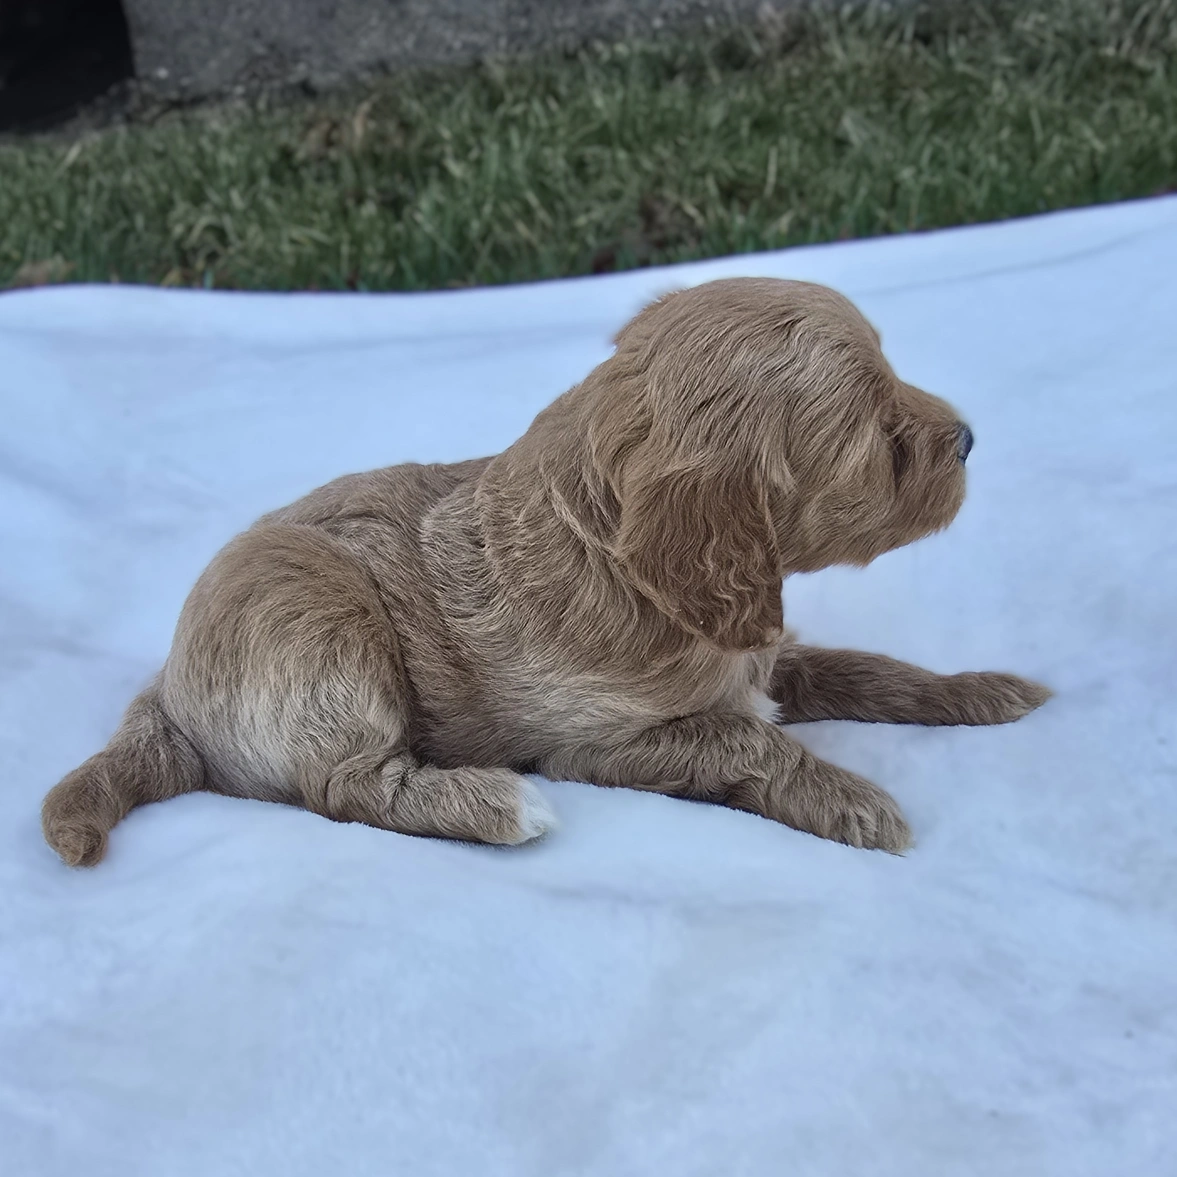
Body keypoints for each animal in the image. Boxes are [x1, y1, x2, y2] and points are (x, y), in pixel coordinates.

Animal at [42, 277, 1050, 867]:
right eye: (877, 441)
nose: (968, 437)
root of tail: (165, 688)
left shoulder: (762, 653)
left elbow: (866, 668)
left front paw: (980, 689)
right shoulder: (602, 745)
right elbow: (752, 744)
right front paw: (855, 801)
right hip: (314, 613)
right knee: (344, 786)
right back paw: (492, 803)